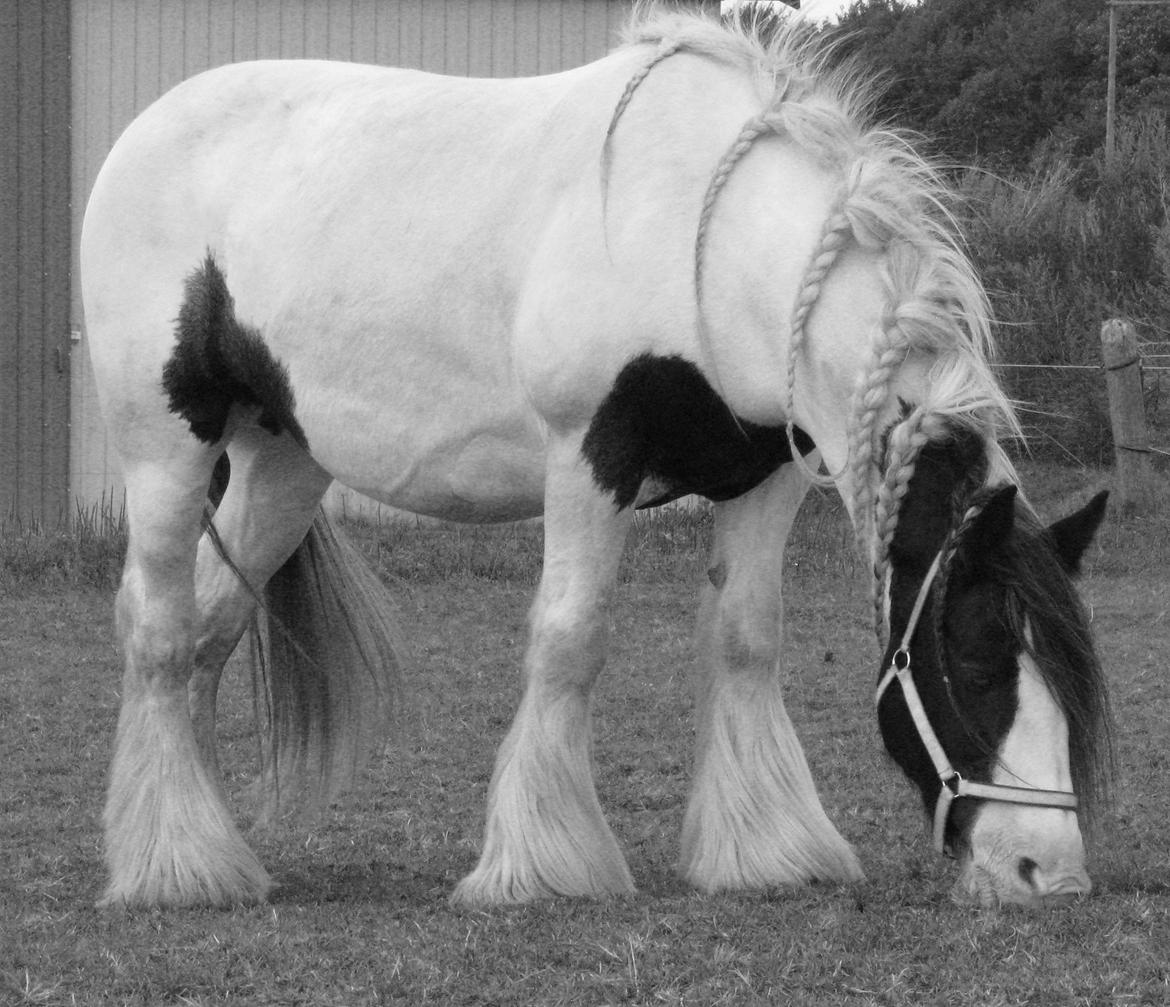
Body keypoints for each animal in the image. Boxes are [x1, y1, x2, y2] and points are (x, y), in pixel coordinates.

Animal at [80, 1, 1104, 912]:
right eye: (978, 658)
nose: (1047, 872)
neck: (704, 242)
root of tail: (145, 133)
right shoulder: (590, 456)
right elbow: (570, 638)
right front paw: (542, 866)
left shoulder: (766, 475)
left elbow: (747, 637)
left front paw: (767, 852)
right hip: (167, 451)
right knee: (158, 626)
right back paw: (175, 868)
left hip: (283, 464)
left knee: (208, 629)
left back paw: (197, 848)